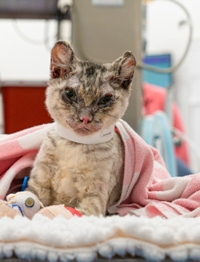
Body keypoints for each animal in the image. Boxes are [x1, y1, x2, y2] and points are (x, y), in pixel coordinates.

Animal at [27, 41, 136, 216]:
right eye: (70, 93)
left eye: (105, 99)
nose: (85, 118)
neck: (73, 148)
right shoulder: (38, 184)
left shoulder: (94, 198)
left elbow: (76, 213)